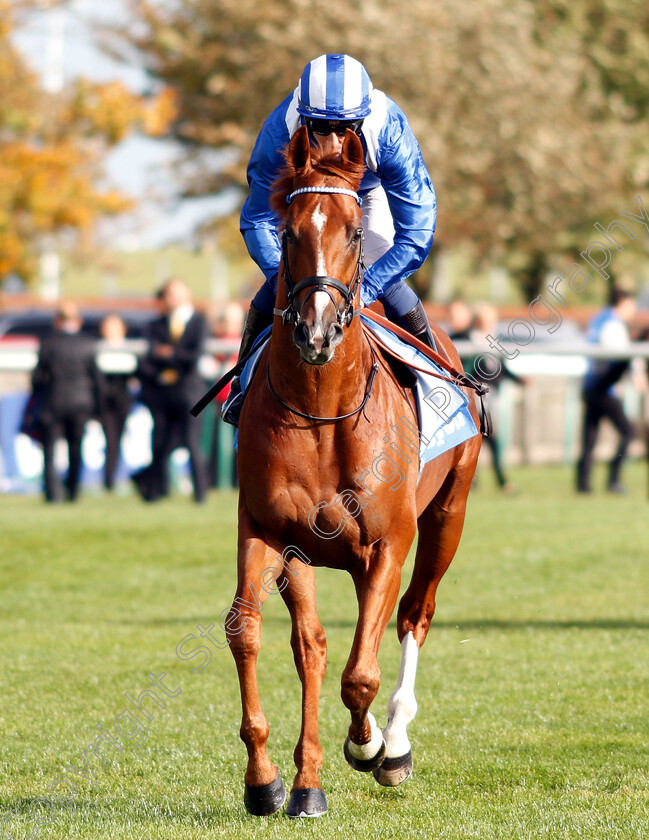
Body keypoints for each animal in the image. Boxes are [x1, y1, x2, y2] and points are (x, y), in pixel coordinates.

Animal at [224, 128, 480, 816]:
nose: (315, 330)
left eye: (356, 231)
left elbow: (360, 674)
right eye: (288, 232)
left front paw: (370, 747)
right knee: (313, 645)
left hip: (448, 515)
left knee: (414, 614)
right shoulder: (272, 533)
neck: (321, 410)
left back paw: (394, 742)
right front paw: (271, 781)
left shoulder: (389, 540)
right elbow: (256, 636)